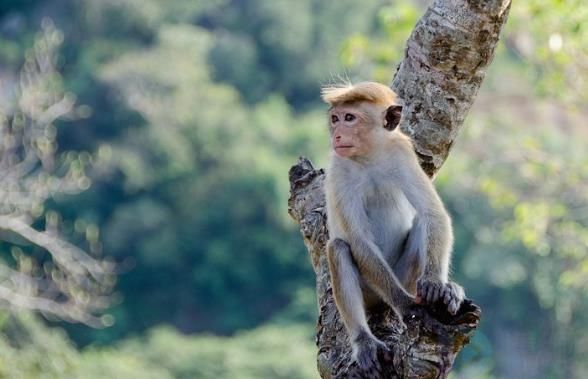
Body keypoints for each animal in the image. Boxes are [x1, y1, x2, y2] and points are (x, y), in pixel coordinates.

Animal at [322, 81, 464, 376]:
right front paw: (405, 304)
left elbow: (432, 213)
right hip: (372, 290)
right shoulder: (339, 169)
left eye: (349, 118)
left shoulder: (402, 152)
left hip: (404, 274)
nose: (338, 134)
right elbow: (359, 240)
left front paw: (437, 285)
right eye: (335, 119)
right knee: (339, 248)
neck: (368, 157)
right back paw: (364, 342)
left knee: (422, 223)